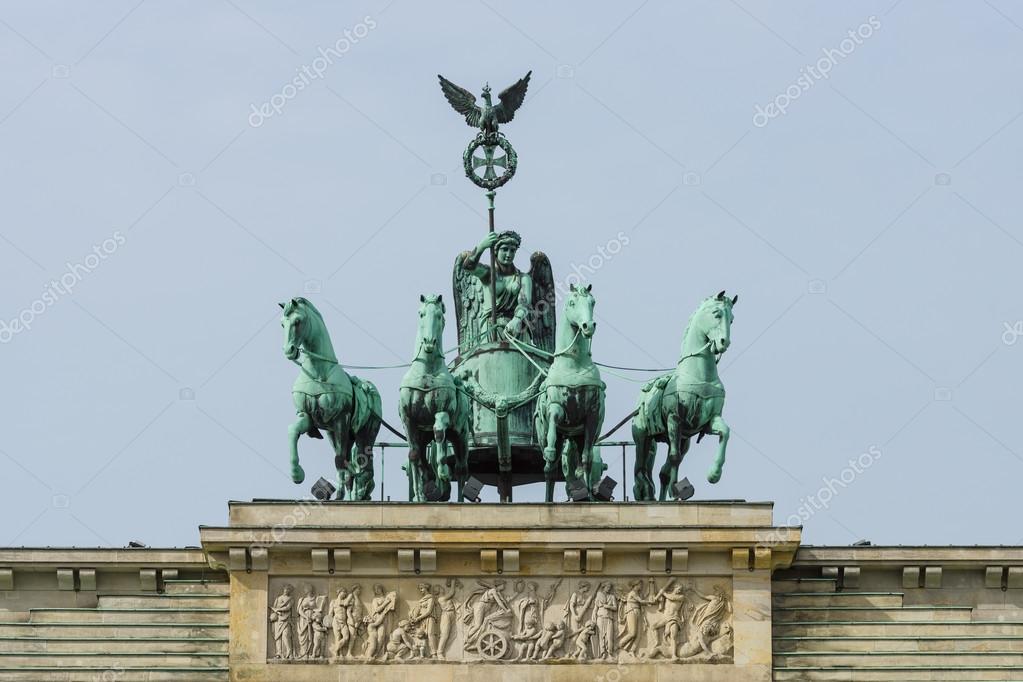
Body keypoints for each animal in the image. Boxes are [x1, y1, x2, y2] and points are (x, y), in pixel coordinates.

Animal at [280, 298, 380, 501]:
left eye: (298, 321)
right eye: (282, 324)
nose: (288, 351)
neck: (318, 373)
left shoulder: (341, 419)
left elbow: (340, 460)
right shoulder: (308, 416)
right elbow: (293, 430)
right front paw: (297, 473)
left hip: (365, 434)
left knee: (360, 461)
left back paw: (358, 492)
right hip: (333, 434)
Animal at [398, 294, 470, 501]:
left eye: (439, 315)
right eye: (421, 314)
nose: (429, 342)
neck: (426, 372)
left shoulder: (442, 411)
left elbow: (439, 432)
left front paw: (443, 471)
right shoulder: (408, 421)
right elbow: (414, 456)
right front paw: (420, 496)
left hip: (461, 436)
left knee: (462, 468)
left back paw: (459, 499)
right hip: (423, 437)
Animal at [536, 282, 605, 501]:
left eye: (593, 302)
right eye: (572, 303)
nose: (588, 326)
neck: (574, 364)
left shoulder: (592, 416)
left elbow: (587, 459)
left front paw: (590, 496)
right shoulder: (556, 407)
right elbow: (554, 420)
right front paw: (550, 450)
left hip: (577, 436)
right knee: (550, 467)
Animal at [630, 292, 736, 501]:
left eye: (732, 319)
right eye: (717, 314)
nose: (724, 343)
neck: (699, 374)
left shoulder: (708, 421)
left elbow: (726, 432)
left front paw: (714, 474)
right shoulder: (674, 418)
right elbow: (674, 457)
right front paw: (676, 489)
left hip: (684, 439)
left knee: (662, 471)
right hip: (643, 436)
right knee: (641, 466)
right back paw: (644, 490)